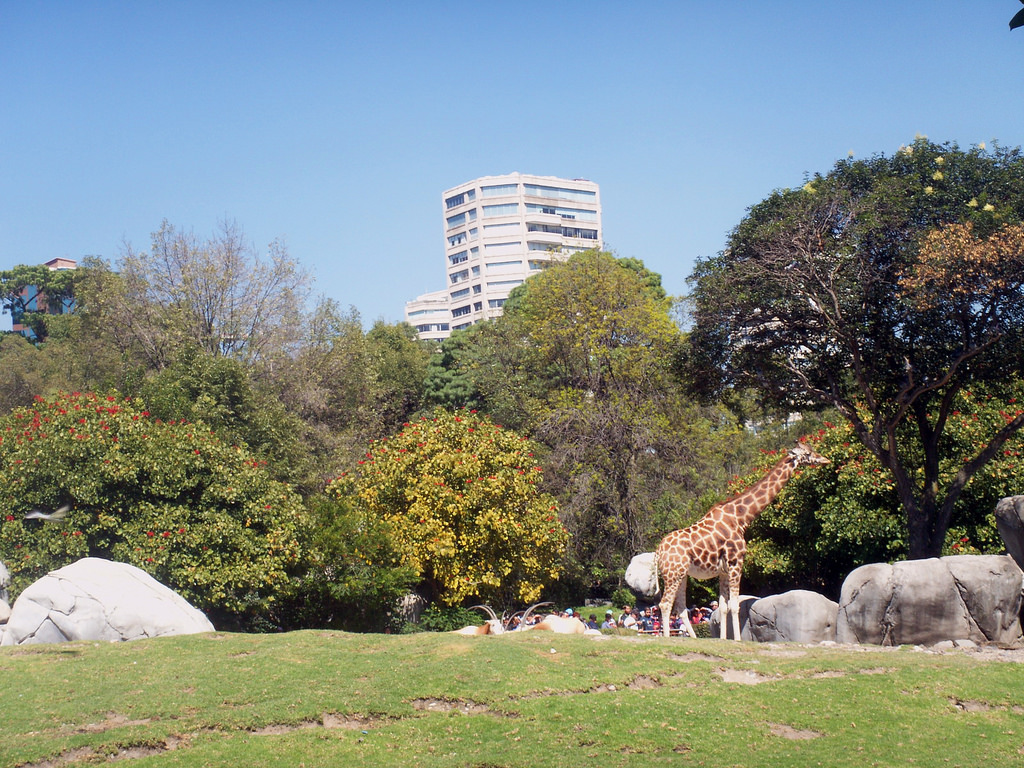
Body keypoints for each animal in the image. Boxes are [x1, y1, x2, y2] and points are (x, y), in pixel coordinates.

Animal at [655, 442, 831, 638]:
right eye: (807, 454)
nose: (826, 459)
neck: (741, 518)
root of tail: (658, 551)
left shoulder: (723, 571)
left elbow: (723, 607)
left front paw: (724, 639)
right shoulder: (736, 562)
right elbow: (734, 605)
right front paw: (738, 639)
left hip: (681, 574)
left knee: (680, 607)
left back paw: (693, 638)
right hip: (673, 573)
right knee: (665, 604)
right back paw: (667, 637)